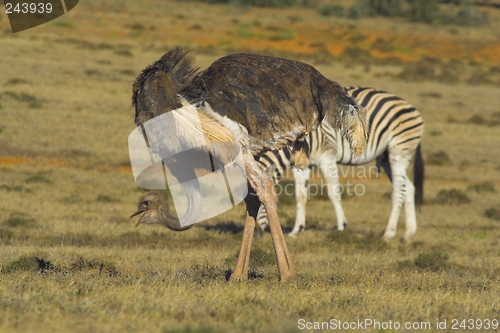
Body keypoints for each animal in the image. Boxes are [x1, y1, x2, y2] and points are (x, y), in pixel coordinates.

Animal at [256, 86, 424, 241]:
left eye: (259, 202)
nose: (258, 234)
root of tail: (410, 106)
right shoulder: (302, 165)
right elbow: (300, 195)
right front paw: (297, 230)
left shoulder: (326, 156)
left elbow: (333, 192)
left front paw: (342, 227)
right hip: (387, 156)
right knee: (408, 188)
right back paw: (408, 234)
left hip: (399, 151)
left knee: (399, 191)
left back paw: (388, 233)